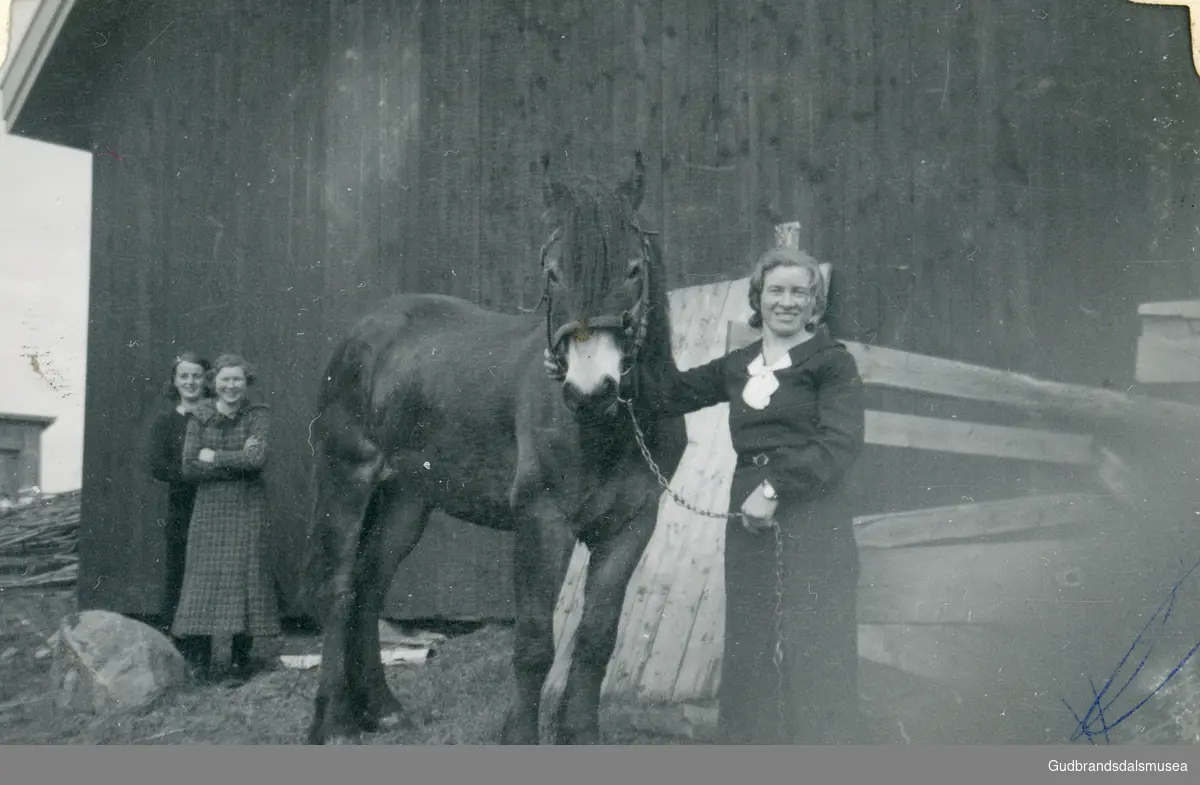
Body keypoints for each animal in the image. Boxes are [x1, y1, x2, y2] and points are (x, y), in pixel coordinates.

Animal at [304, 152, 691, 744]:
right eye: (552, 272)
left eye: (633, 270)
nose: (590, 391)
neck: (605, 430)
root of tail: (365, 332)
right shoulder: (541, 521)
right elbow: (533, 643)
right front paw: (520, 736)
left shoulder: (630, 525)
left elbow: (597, 637)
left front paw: (580, 734)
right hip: (347, 479)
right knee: (340, 586)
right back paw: (335, 722)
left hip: (407, 498)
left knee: (371, 582)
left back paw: (383, 707)